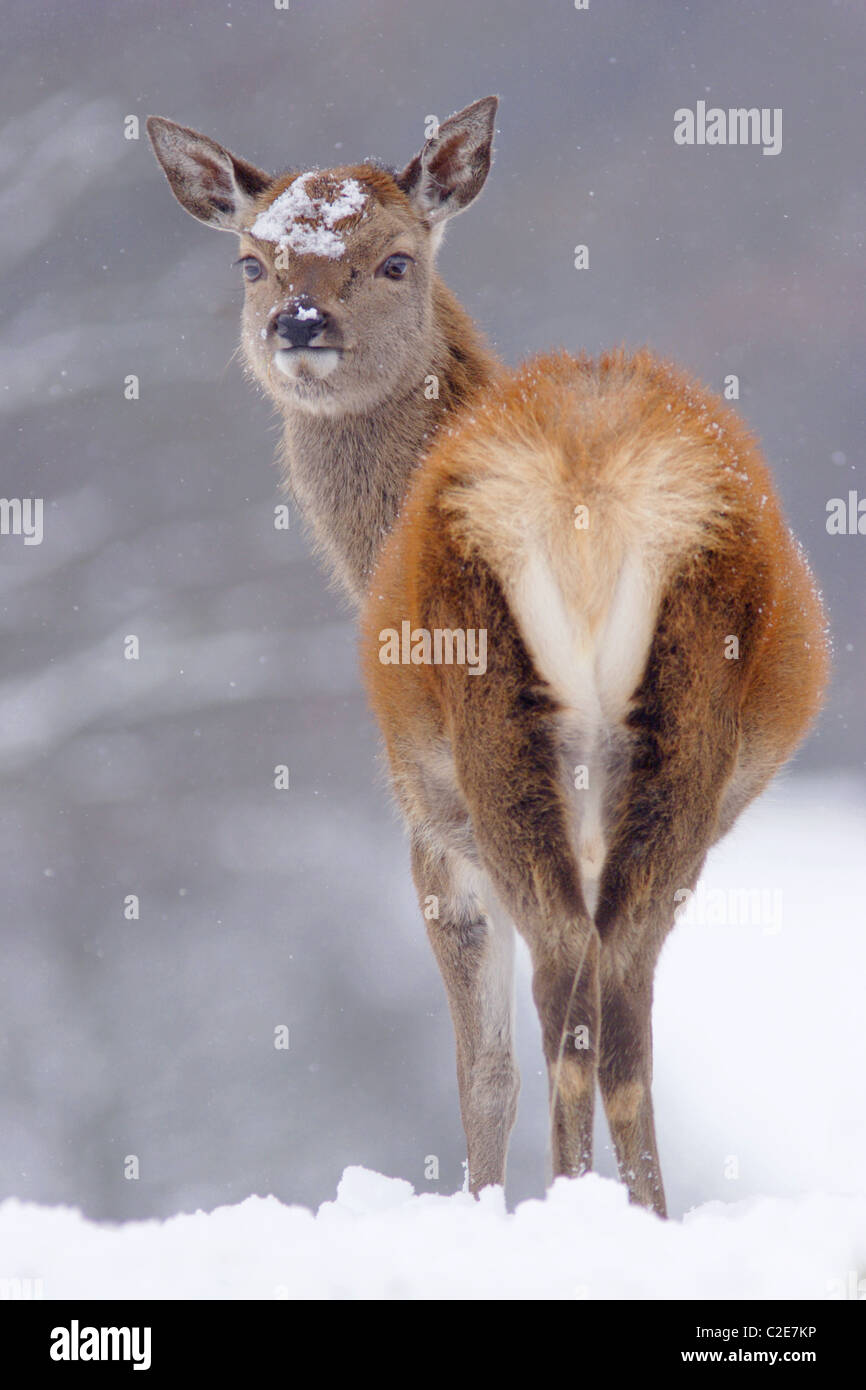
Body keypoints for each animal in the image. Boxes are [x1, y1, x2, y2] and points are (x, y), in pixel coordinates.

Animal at [148, 95, 828, 1217]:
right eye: (252, 260)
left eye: (394, 259)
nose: (301, 323)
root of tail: (589, 480)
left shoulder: (429, 825)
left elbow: (482, 1071)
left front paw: (477, 1204)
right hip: (680, 731)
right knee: (621, 1004)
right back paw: (641, 1214)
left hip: (490, 721)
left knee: (566, 999)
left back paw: (568, 1208)